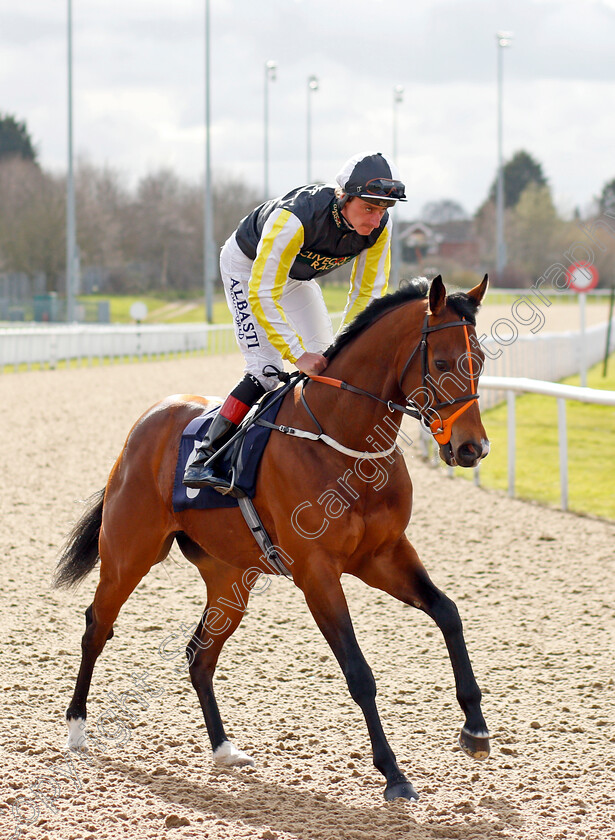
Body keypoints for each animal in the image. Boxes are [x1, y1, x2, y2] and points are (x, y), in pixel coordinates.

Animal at [56, 274, 490, 800]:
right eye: (442, 363)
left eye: (479, 360)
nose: (472, 448)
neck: (344, 439)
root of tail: (147, 421)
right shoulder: (317, 572)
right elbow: (358, 671)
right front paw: (393, 773)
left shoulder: (383, 555)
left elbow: (449, 614)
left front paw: (475, 728)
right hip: (128, 554)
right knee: (97, 626)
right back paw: (77, 728)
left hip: (229, 578)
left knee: (199, 655)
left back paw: (224, 749)